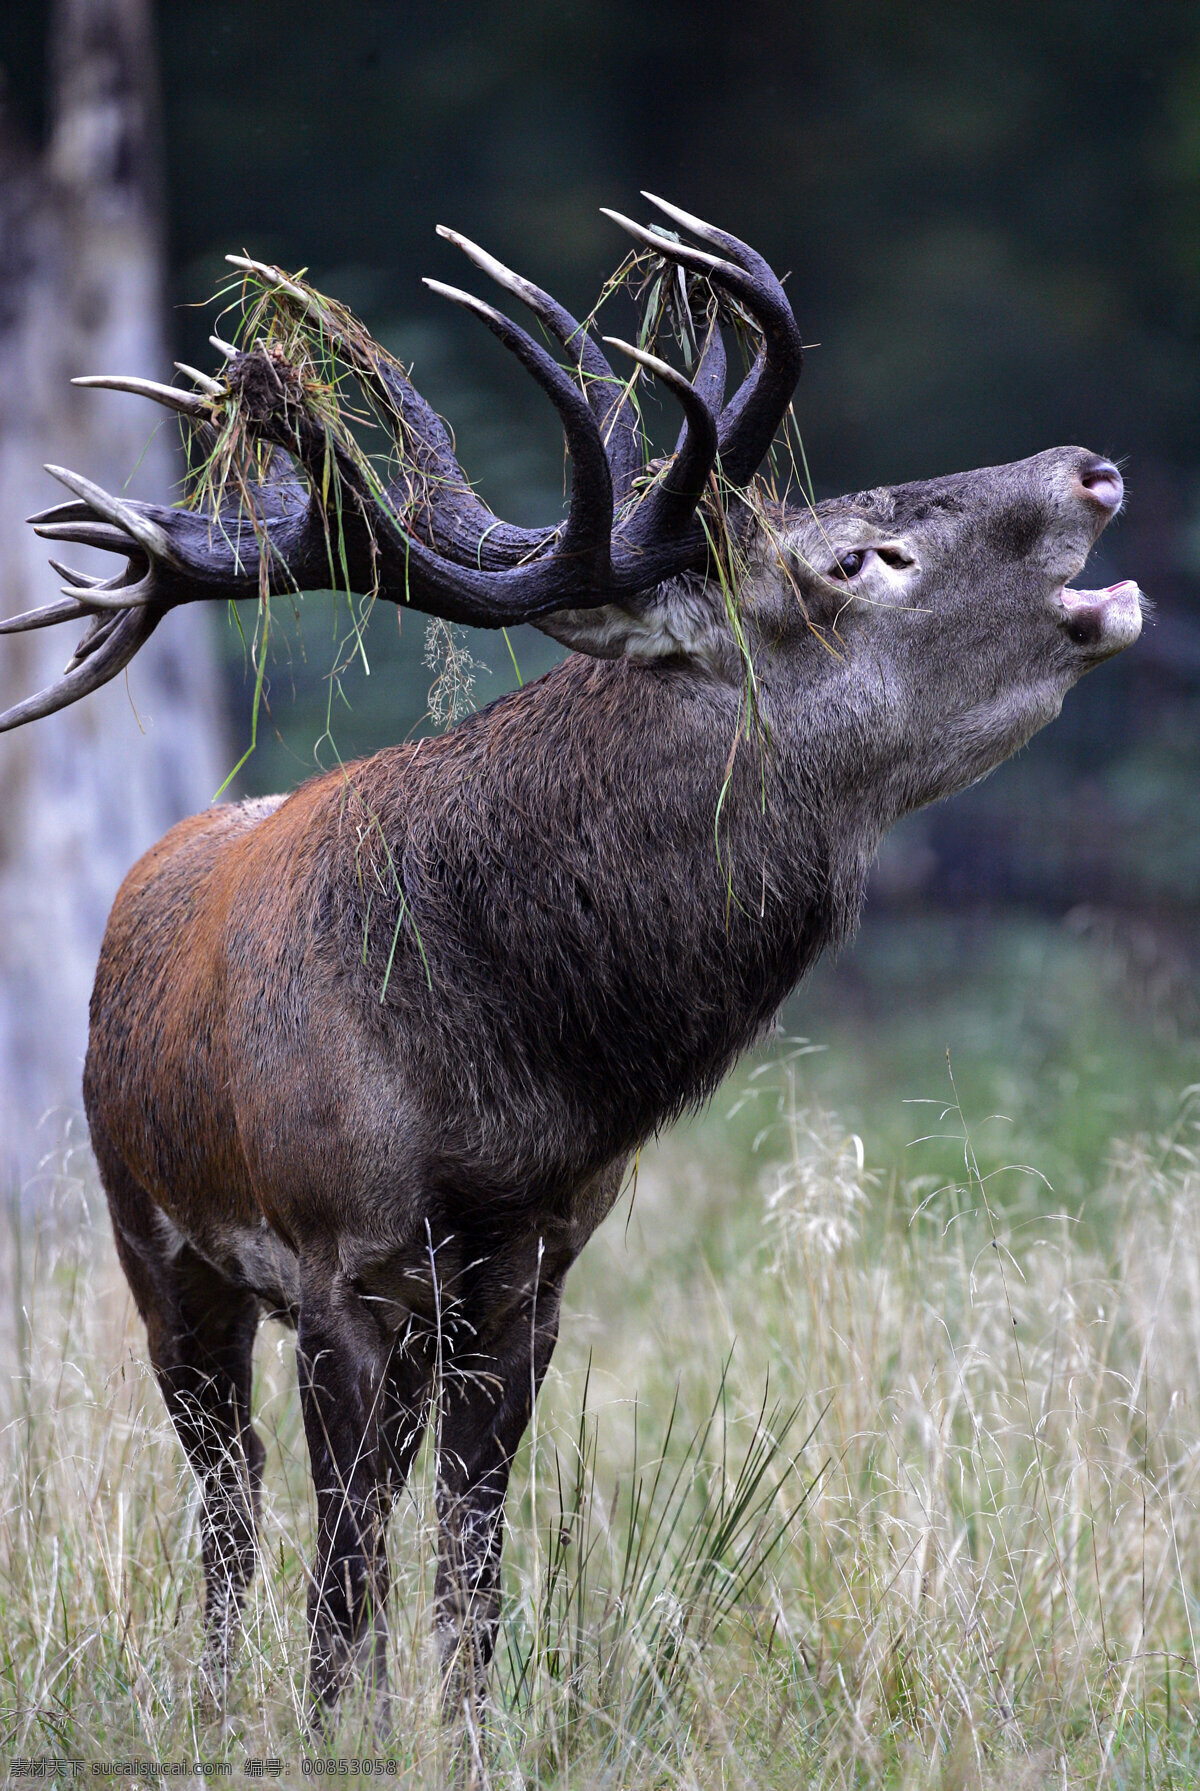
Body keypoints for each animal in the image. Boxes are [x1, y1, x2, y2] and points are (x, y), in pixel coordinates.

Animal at [2, 199, 1146, 1733]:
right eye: (853, 559)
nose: (1091, 467)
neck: (503, 1092)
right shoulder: (338, 1262)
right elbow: (345, 1571)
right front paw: (331, 1734)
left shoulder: (531, 1271)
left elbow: (471, 1561)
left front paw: (462, 1734)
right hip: (152, 1237)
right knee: (230, 1499)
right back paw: (214, 1698)